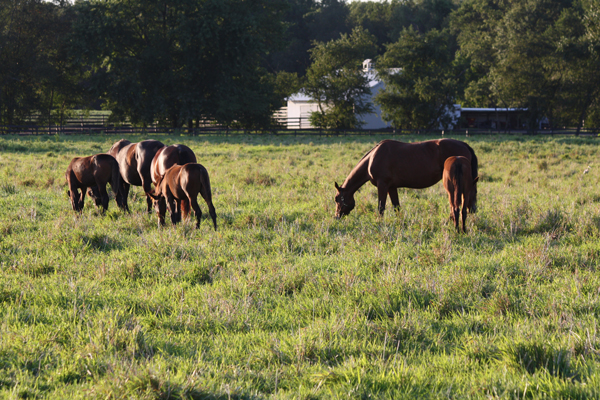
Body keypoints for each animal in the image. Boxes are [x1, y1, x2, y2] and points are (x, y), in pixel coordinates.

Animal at [332, 138, 478, 219]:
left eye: (337, 199)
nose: (337, 216)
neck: (373, 158)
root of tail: (464, 145)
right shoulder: (391, 187)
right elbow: (396, 207)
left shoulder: (382, 185)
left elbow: (381, 207)